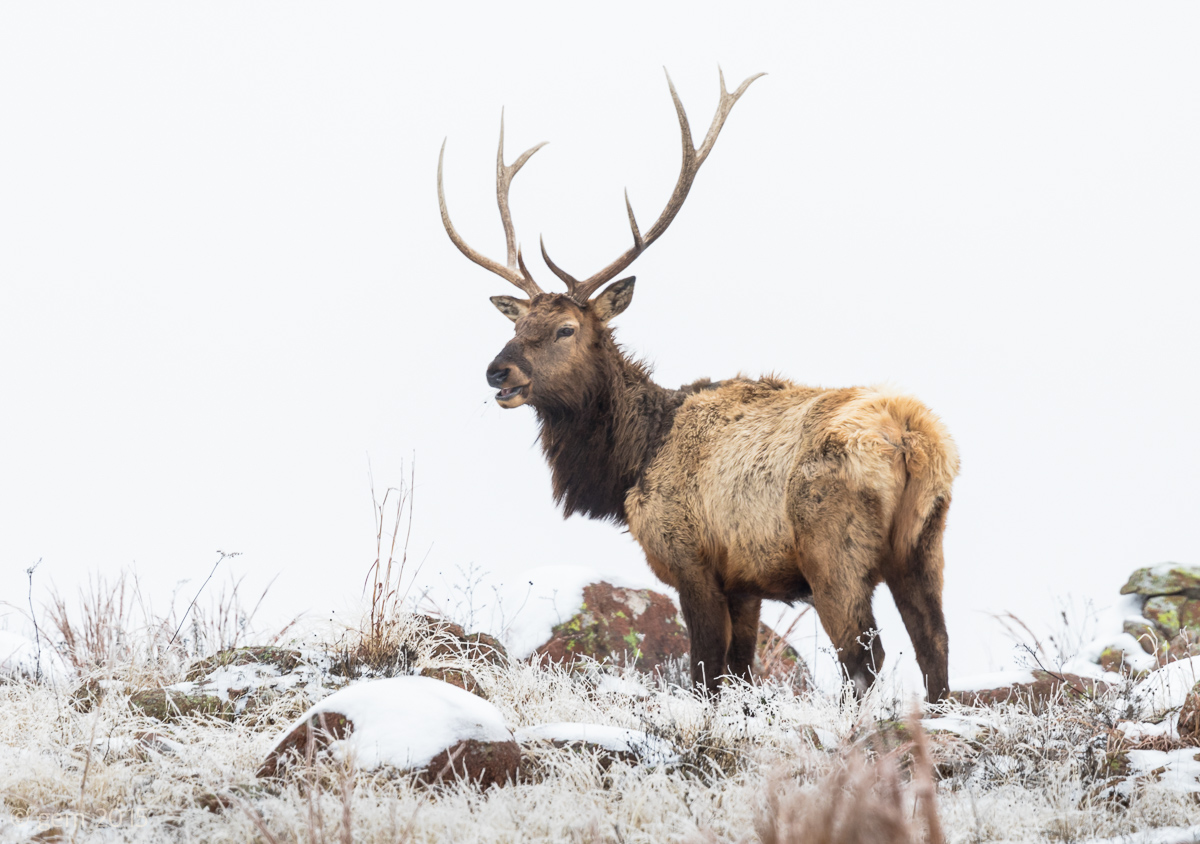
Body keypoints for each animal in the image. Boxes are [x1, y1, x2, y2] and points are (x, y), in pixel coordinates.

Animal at [437, 70, 959, 702]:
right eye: (515, 326)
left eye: (566, 328)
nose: (498, 371)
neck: (631, 463)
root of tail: (911, 436)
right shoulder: (745, 580)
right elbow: (740, 673)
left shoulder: (690, 559)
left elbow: (706, 672)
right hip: (924, 546)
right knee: (936, 649)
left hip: (834, 551)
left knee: (865, 658)